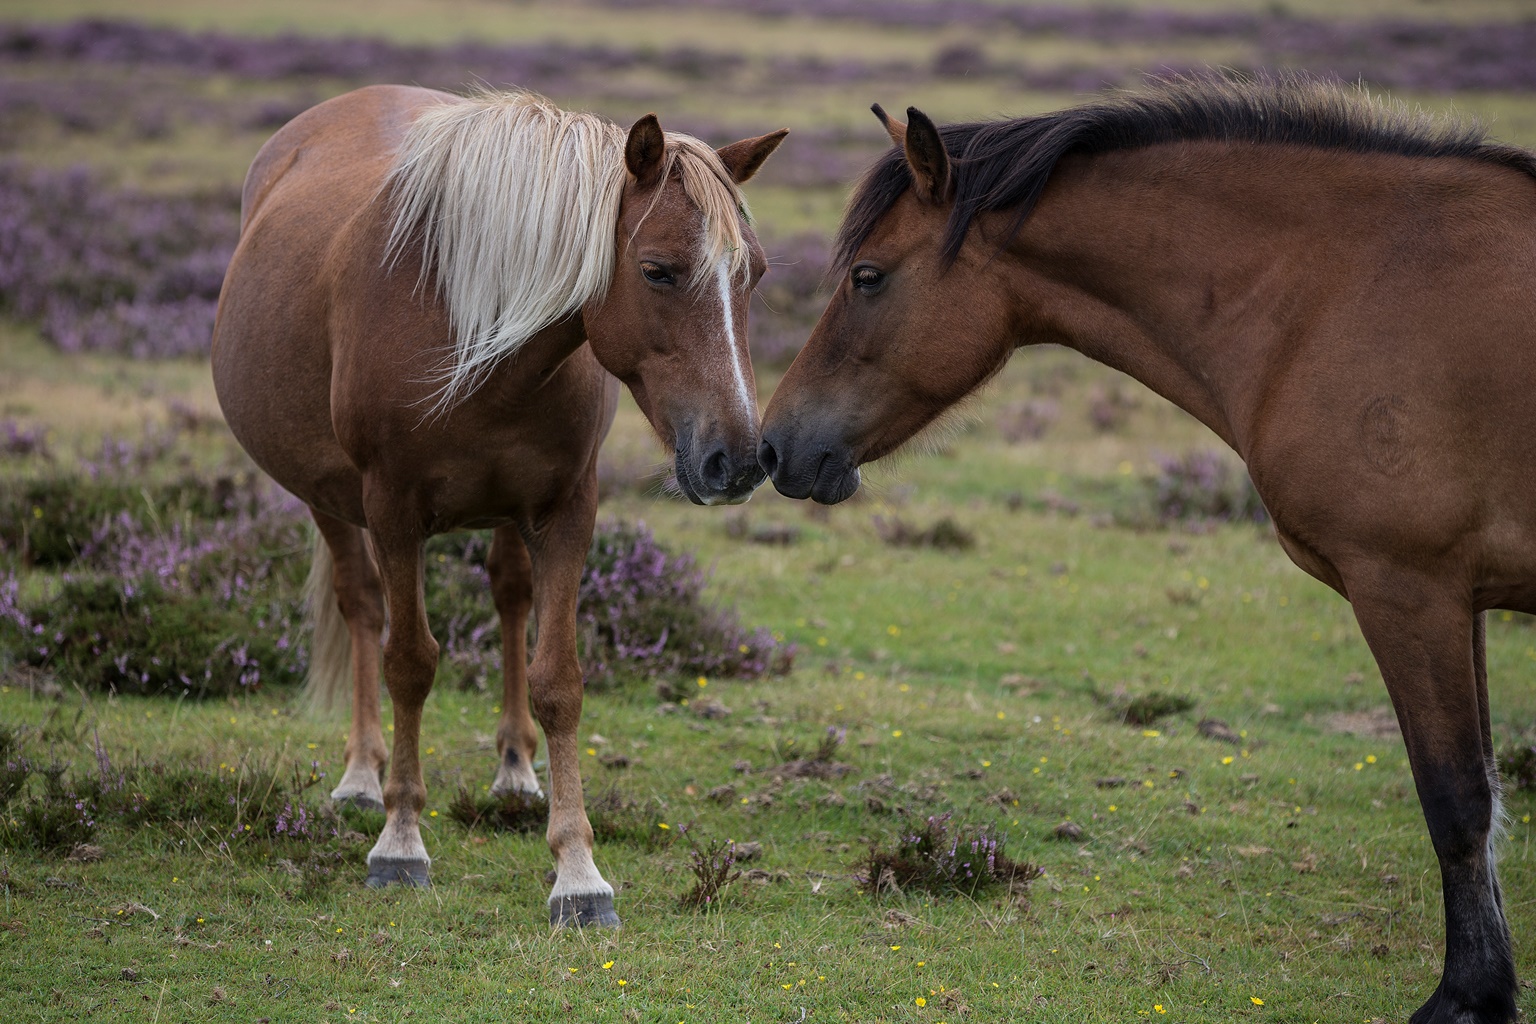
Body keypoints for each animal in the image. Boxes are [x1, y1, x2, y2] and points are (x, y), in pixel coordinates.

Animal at [212, 84, 785, 928]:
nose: (739, 459)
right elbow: (410, 663)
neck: (470, 328)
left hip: (510, 512)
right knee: (361, 605)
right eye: (657, 271)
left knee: (511, 594)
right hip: (330, 500)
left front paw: (578, 872)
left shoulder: (567, 508)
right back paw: (361, 775)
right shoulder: (392, 510)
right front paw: (400, 842)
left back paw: (516, 771)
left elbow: (559, 681)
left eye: (756, 274)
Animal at [758, 76, 1536, 1023]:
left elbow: (1455, 800)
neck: (1341, 292)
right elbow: (1482, 794)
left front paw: (1466, 996)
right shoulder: (1461, 599)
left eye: (867, 277)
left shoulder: (1409, 589)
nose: (774, 445)